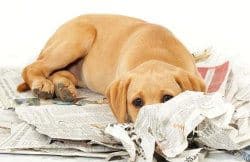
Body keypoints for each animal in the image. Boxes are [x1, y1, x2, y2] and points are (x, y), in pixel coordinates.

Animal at [17, 14, 205, 123]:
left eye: (167, 98)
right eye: (137, 102)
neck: (155, 53)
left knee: (58, 73)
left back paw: (64, 88)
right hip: (78, 39)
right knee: (31, 68)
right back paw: (42, 84)